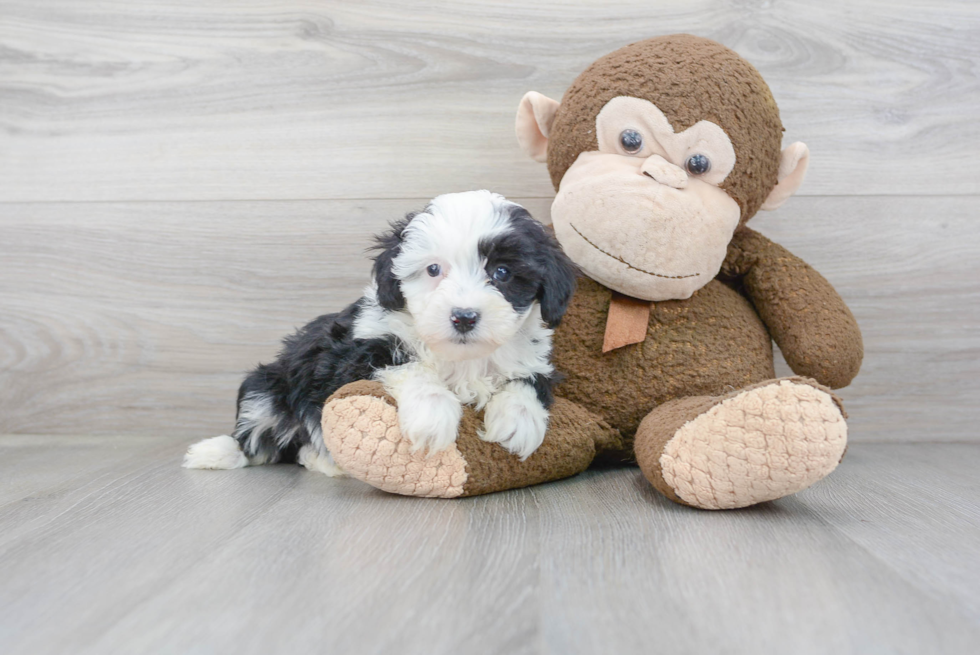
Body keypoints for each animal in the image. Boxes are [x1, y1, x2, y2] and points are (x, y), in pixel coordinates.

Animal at [183, 191, 580, 476]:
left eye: (502, 272)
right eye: (433, 269)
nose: (464, 317)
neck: (461, 356)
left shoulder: (536, 359)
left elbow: (527, 381)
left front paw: (518, 421)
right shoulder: (354, 355)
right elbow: (406, 364)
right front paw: (432, 414)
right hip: (268, 385)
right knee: (257, 436)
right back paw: (215, 452)